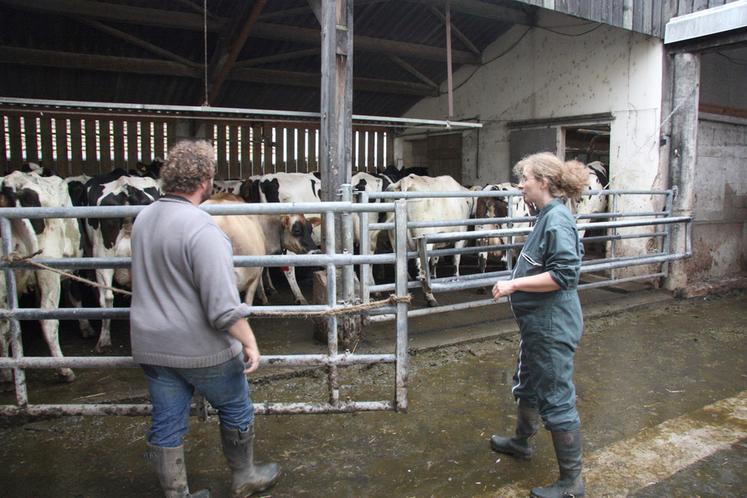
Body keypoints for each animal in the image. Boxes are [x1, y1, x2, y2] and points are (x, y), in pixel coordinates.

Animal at [382, 175, 476, 308]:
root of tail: (406, 180)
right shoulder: (460, 235)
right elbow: (456, 258)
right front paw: (456, 277)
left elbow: (435, 259)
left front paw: (434, 275)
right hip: (423, 238)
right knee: (421, 269)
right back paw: (430, 297)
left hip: (395, 240)